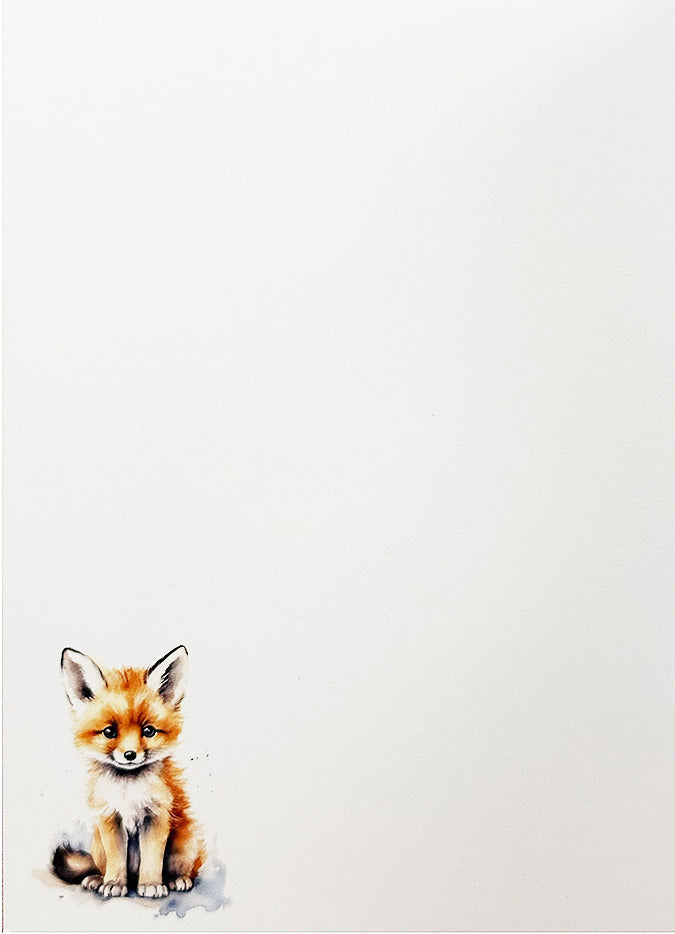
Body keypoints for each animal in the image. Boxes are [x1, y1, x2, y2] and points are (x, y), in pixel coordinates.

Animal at [52, 645, 205, 898]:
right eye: (109, 732)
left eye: (149, 731)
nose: (130, 755)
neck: (128, 791)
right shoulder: (109, 817)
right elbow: (116, 859)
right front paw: (114, 882)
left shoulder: (156, 816)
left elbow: (152, 858)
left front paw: (151, 884)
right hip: (98, 844)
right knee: (100, 866)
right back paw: (97, 878)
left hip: (184, 846)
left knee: (184, 869)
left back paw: (177, 879)